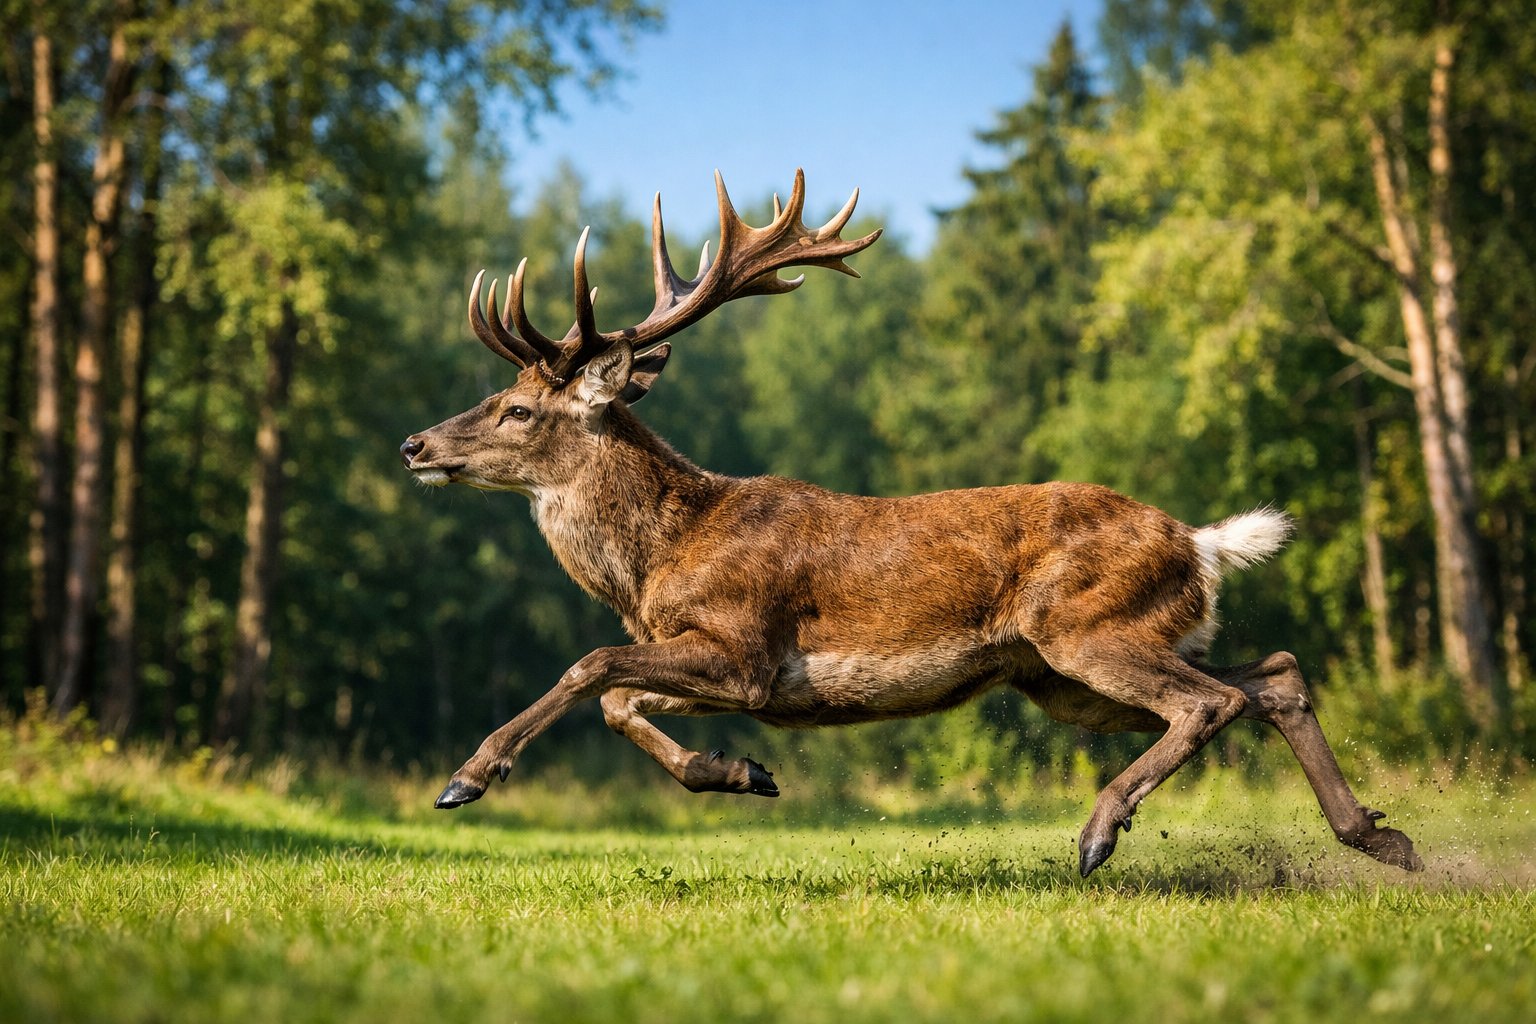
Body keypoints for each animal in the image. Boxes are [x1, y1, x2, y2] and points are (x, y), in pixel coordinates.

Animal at [400, 170, 1422, 877]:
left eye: (516, 411)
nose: (415, 444)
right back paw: (1381, 839)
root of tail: (1200, 543)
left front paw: (467, 777)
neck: (657, 563)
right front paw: (741, 772)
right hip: (1070, 672)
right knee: (1268, 677)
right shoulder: (734, 672)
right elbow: (618, 700)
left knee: (1213, 701)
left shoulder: (745, 647)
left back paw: (1098, 833)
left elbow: (590, 667)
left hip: (1080, 627)